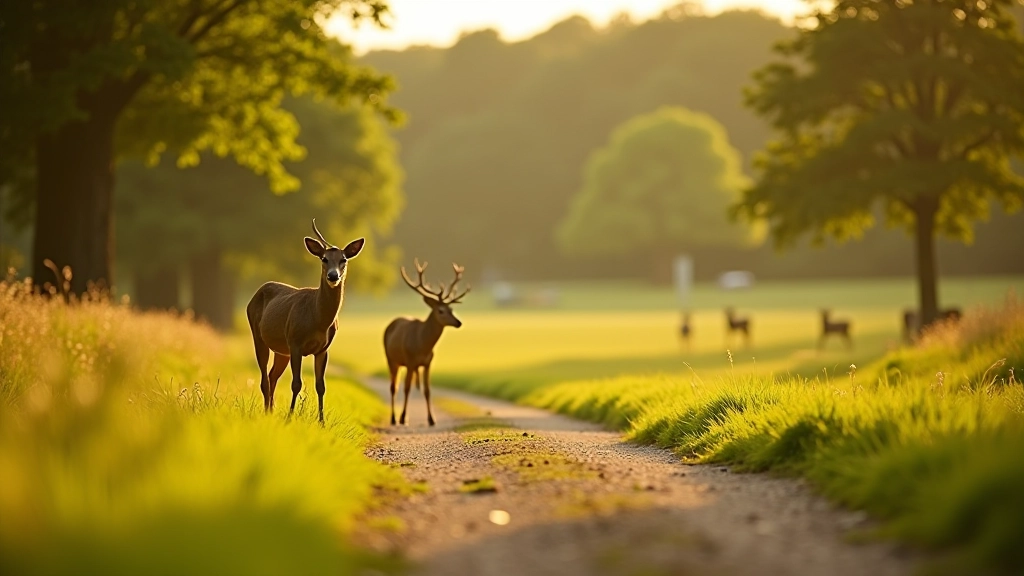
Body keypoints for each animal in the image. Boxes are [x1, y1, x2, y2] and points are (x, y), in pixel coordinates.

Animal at [246, 219, 364, 424]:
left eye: (344, 259)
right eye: (324, 259)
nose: (333, 275)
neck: (318, 320)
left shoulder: (323, 349)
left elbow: (321, 385)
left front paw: (322, 422)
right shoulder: (295, 342)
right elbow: (296, 383)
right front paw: (289, 417)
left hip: (281, 350)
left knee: (272, 375)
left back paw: (271, 411)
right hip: (258, 336)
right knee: (264, 378)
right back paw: (267, 413)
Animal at [384, 259, 470, 426]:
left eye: (451, 309)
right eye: (440, 311)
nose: (459, 322)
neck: (423, 345)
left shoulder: (428, 362)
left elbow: (427, 390)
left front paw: (431, 419)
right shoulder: (410, 361)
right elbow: (407, 388)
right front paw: (403, 418)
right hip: (391, 359)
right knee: (393, 387)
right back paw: (393, 418)